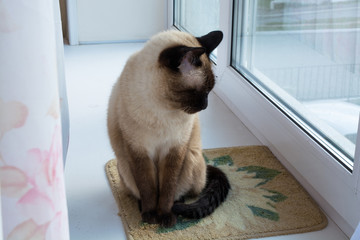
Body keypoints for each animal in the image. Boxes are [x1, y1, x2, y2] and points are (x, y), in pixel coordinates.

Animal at [107, 30, 231, 227]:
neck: (162, 108)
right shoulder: (139, 151)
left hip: (190, 158)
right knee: (139, 192)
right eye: (200, 92)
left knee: (184, 192)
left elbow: (167, 189)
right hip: (125, 164)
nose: (205, 106)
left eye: (209, 91)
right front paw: (150, 215)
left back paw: (176, 206)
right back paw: (142, 208)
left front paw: (165, 216)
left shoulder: (175, 150)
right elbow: (148, 189)